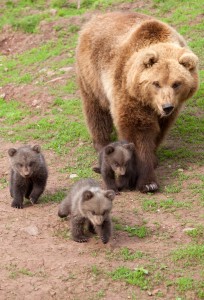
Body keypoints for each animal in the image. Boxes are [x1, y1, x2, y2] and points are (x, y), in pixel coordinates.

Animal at [75, 11, 198, 192]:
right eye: (156, 83)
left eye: (176, 83)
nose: (167, 107)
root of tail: (96, 18)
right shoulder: (128, 92)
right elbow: (138, 132)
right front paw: (148, 182)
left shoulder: (171, 109)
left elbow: (160, 130)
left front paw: (153, 159)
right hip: (91, 74)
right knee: (96, 111)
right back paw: (102, 143)